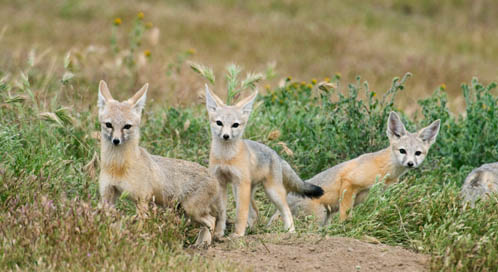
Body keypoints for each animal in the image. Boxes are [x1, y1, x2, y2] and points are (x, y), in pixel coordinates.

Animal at [98, 81, 222, 246]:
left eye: (127, 126)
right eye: (109, 125)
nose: (116, 140)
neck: (118, 166)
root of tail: (213, 176)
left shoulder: (142, 200)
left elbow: (139, 227)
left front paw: (136, 243)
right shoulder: (108, 197)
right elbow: (108, 225)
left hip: (192, 211)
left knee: (212, 220)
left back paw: (205, 245)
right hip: (187, 212)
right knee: (208, 222)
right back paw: (199, 244)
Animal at [204, 85, 324, 238]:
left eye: (235, 125)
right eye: (219, 123)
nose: (226, 136)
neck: (226, 157)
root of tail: (277, 155)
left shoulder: (241, 184)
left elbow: (240, 214)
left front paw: (238, 234)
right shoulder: (221, 182)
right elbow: (221, 212)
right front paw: (219, 233)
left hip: (270, 192)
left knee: (286, 210)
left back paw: (290, 231)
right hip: (240, 190)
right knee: (255, 212)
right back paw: (251, 230)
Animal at [272, 111, 440, 225]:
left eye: (418, 153)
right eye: (402, 151)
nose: (410, 163)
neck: (384, 169)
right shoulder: (349, 184)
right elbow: (345, 215)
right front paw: (343, 229)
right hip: (320, 215)